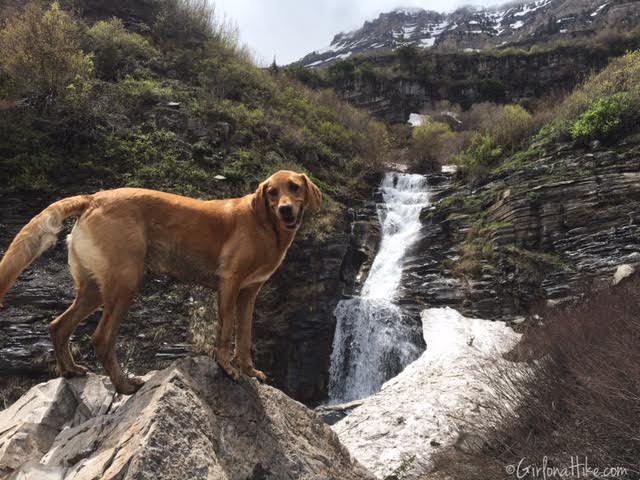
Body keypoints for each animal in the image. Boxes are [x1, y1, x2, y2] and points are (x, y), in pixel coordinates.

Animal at [0, 171, 320, 392]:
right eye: (272, 193)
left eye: (294, 187)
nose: (285, 209)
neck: (266, 226)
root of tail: (93, 198)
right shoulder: (229, 283)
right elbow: (226, 331)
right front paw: (227, 368)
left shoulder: (250, 293)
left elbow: (245, 337)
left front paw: (250, 371)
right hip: (125, 283)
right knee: (101, 338)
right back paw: (124, 386)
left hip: (94, 289)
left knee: (58, 325)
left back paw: (69, 370)